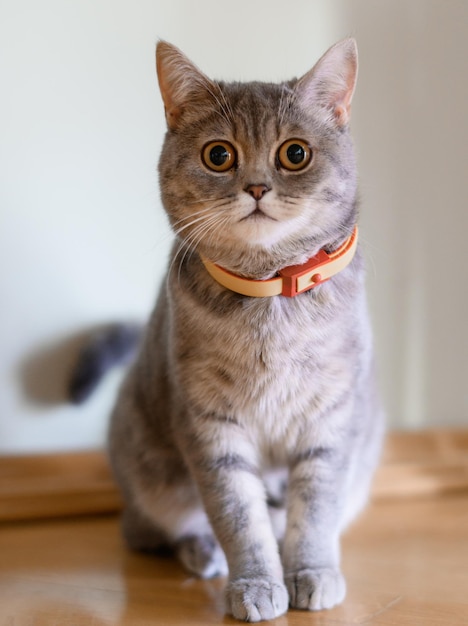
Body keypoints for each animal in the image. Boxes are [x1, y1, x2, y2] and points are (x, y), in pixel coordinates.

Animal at [82, 37, 386, 620]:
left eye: (295, 153)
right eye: (218, 155)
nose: (257, 188)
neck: (270, 301)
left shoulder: (333, 421)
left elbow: (314, 510)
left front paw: (310, 571)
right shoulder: (211, 426)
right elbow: (238, 516)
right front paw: (255, 583)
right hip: (151, 472)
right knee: (153, 529)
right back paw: (203, 553)